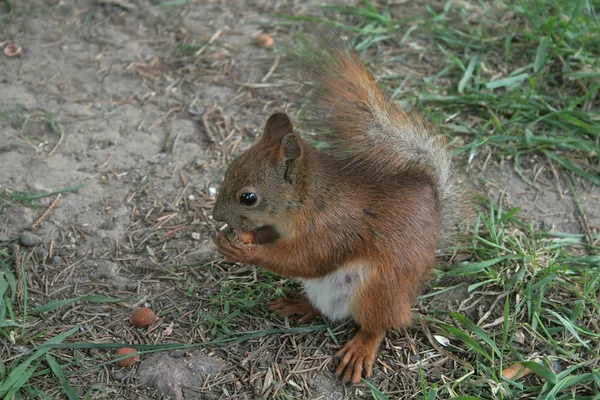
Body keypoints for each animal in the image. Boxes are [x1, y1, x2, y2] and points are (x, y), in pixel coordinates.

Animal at [211, 34, 468, 384]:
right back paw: (298, 305)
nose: (216, 216)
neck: (309, 199)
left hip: (379, 291)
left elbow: (305, 259)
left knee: (378, 324)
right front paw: (241, 236)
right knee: (325, 310)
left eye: (248, 198)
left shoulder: (332, 228)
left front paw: (243, 251)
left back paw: (360, 349)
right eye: (229, 168)